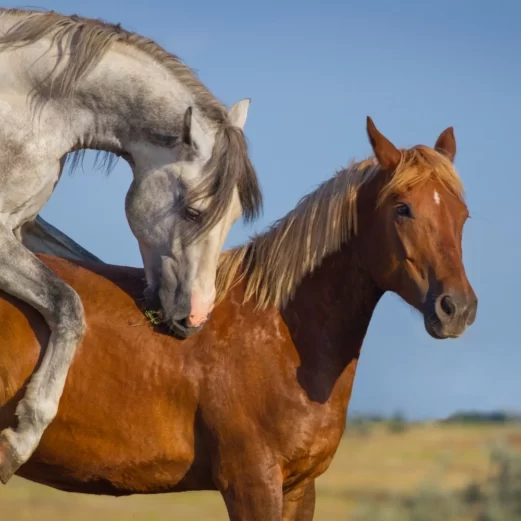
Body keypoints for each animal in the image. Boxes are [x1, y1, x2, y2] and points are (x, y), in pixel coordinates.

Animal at [0, 119, 476, 520]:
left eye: (462, 214)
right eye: (402, 208)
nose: (457, 308)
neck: (280, 333)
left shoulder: (299, 488)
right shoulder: (251, 483)